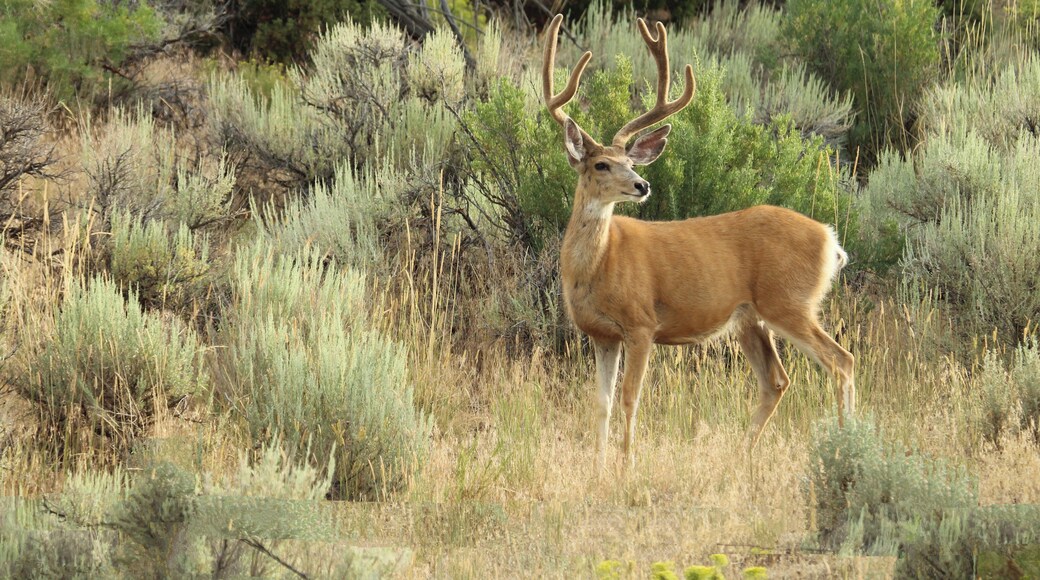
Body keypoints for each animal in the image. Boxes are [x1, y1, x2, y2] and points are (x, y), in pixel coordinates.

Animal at [542, 14, 855, 472]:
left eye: (630, 161)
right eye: (601, 164)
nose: (642, 184)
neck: (596, 266)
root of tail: (831, 241)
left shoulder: (642, 324)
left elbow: (630, 399)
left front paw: (627, 465)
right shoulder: (600, 334)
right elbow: (601, 403)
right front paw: (598, 468)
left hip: (789, 302)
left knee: (841, 361)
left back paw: (847, 446)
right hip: (750, 318)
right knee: (777, 380)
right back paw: (742, 456)